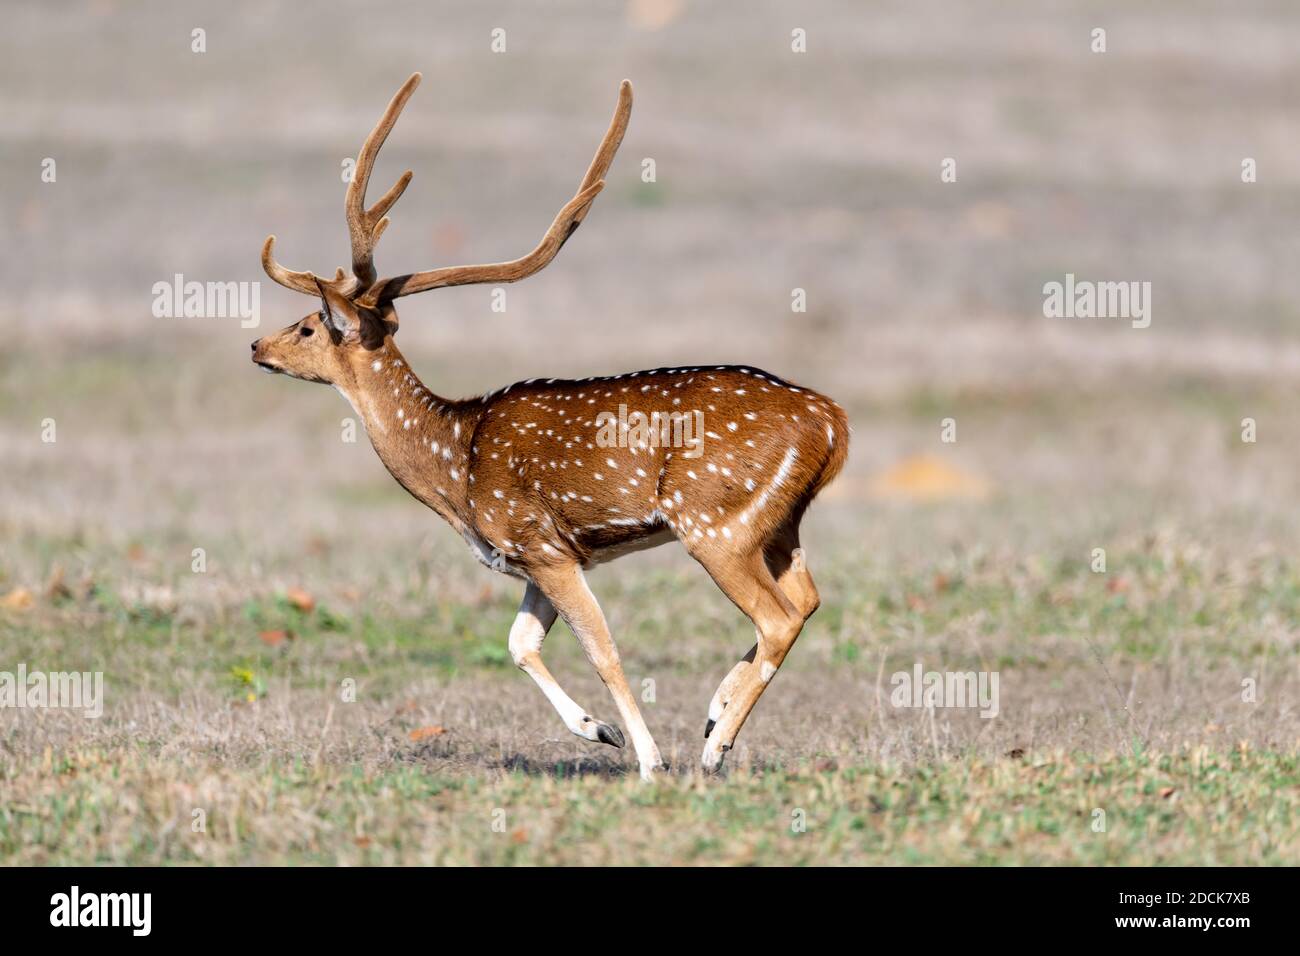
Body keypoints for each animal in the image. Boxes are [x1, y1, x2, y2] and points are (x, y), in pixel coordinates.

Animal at [251, 73, 850, 779]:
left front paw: (649, 761)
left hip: (713, 520)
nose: (257, 346)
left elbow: (603, 648)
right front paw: (600, 732)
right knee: (806, 602)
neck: (456, 469)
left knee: (777, 618)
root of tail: (833, 423)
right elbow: (519, 644)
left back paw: (713, 746)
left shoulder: (539, 541)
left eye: (308, 326)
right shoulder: (542, 556)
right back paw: (713, 713)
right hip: (779, 524)